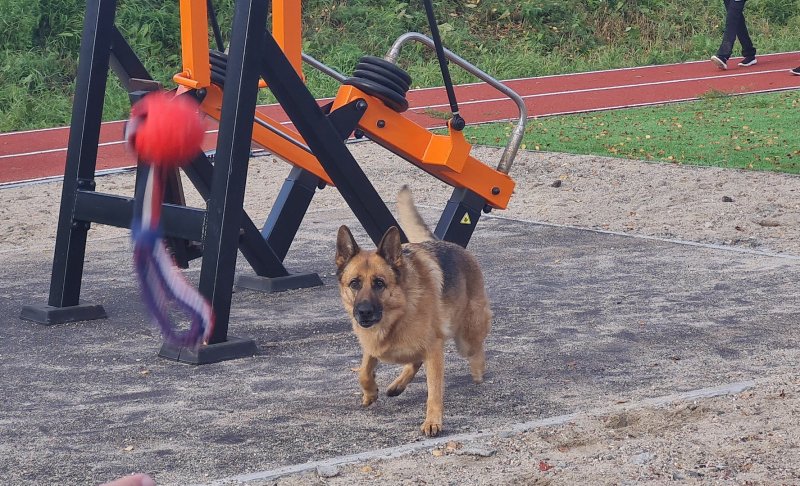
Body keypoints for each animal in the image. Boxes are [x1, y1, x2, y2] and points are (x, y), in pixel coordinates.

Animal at [334, 186, 490, 436]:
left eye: (379, 283)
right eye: (354, 283)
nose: (364, 312)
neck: (399, 312)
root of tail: (448, 244)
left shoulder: (434, 350)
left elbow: (434, 390)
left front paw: (433, 421)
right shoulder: (372, 345)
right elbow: (363, 371)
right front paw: (370, 391)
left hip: (466, 337)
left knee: (475, 349)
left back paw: (477, 370)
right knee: (414, 361)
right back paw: (397, 385)